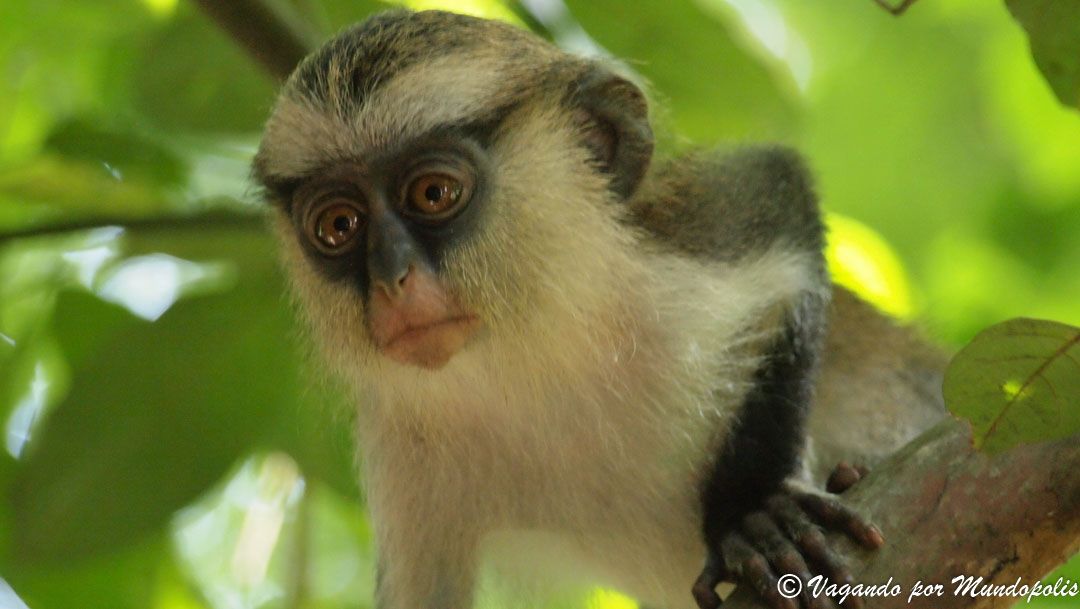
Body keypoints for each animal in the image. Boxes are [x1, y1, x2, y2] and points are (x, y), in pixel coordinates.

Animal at [251, 10, 946, 609]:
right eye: (339, 226)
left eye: (433, 192)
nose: (393, 279)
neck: (533, 361)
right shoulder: (403, 458)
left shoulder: (693, 253)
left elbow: (776, 186)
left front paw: (754, 511)